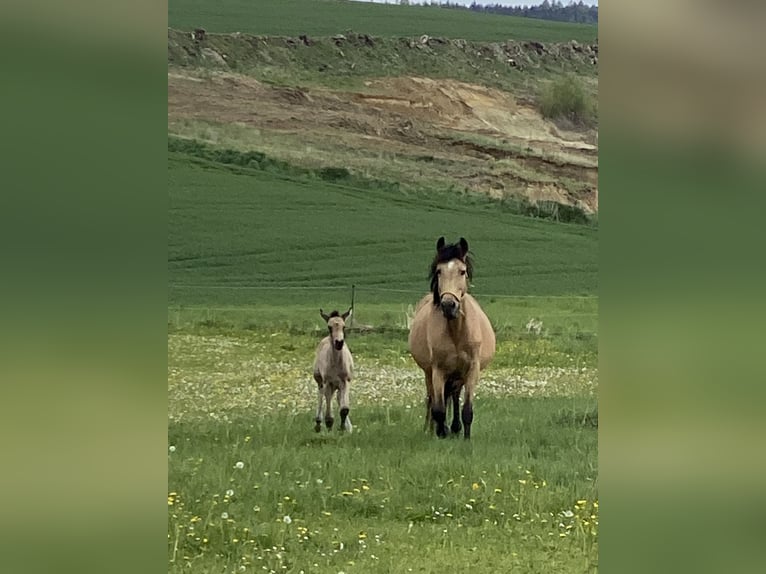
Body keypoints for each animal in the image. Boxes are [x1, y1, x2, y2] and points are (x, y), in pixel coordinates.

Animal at [408, 236, 498, 438]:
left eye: (462, 271)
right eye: (439, 271)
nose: (448, 305)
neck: (456, 332)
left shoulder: (472, 369)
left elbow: (467, 410)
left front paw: (465, 437)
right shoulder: (438, 370)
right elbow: (439, 410)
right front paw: (441, 433)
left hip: (458, 375)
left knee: (455, 397)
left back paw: (455, 428)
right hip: (430, 373)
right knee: (431, 399)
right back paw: (431, 429)